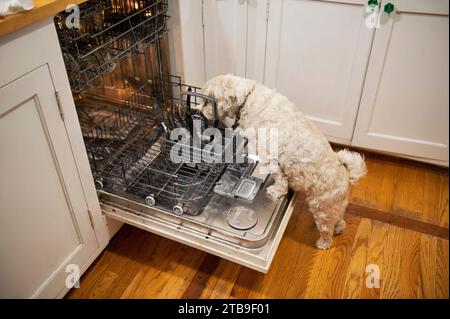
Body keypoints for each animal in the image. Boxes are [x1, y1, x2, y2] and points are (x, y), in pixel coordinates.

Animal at [197, 75, 366, 250]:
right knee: (340, 220)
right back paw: (339, 228)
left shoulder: (267, 154)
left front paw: (276, 191)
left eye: (207, 102)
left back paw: (322, 243)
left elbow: (279, 178)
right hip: (336, 206)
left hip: (322, 207)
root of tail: (347, 175)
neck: (248, 97)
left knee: (327, 230)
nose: (197, 111)